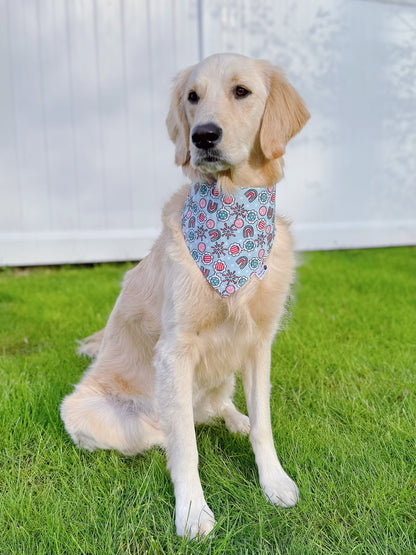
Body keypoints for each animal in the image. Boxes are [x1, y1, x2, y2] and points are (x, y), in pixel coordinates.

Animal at [61, 52, 308, 540]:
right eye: (193, 97)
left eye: (241, 91)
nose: (203, 136)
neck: (232, 211)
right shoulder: (175, 351)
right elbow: (186, 448)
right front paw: (193, 512)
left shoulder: (259, 343)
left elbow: (264, 425)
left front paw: (274, 481)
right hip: (90, 413)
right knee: (174, 429)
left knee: (218, 408)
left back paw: (235, 419)